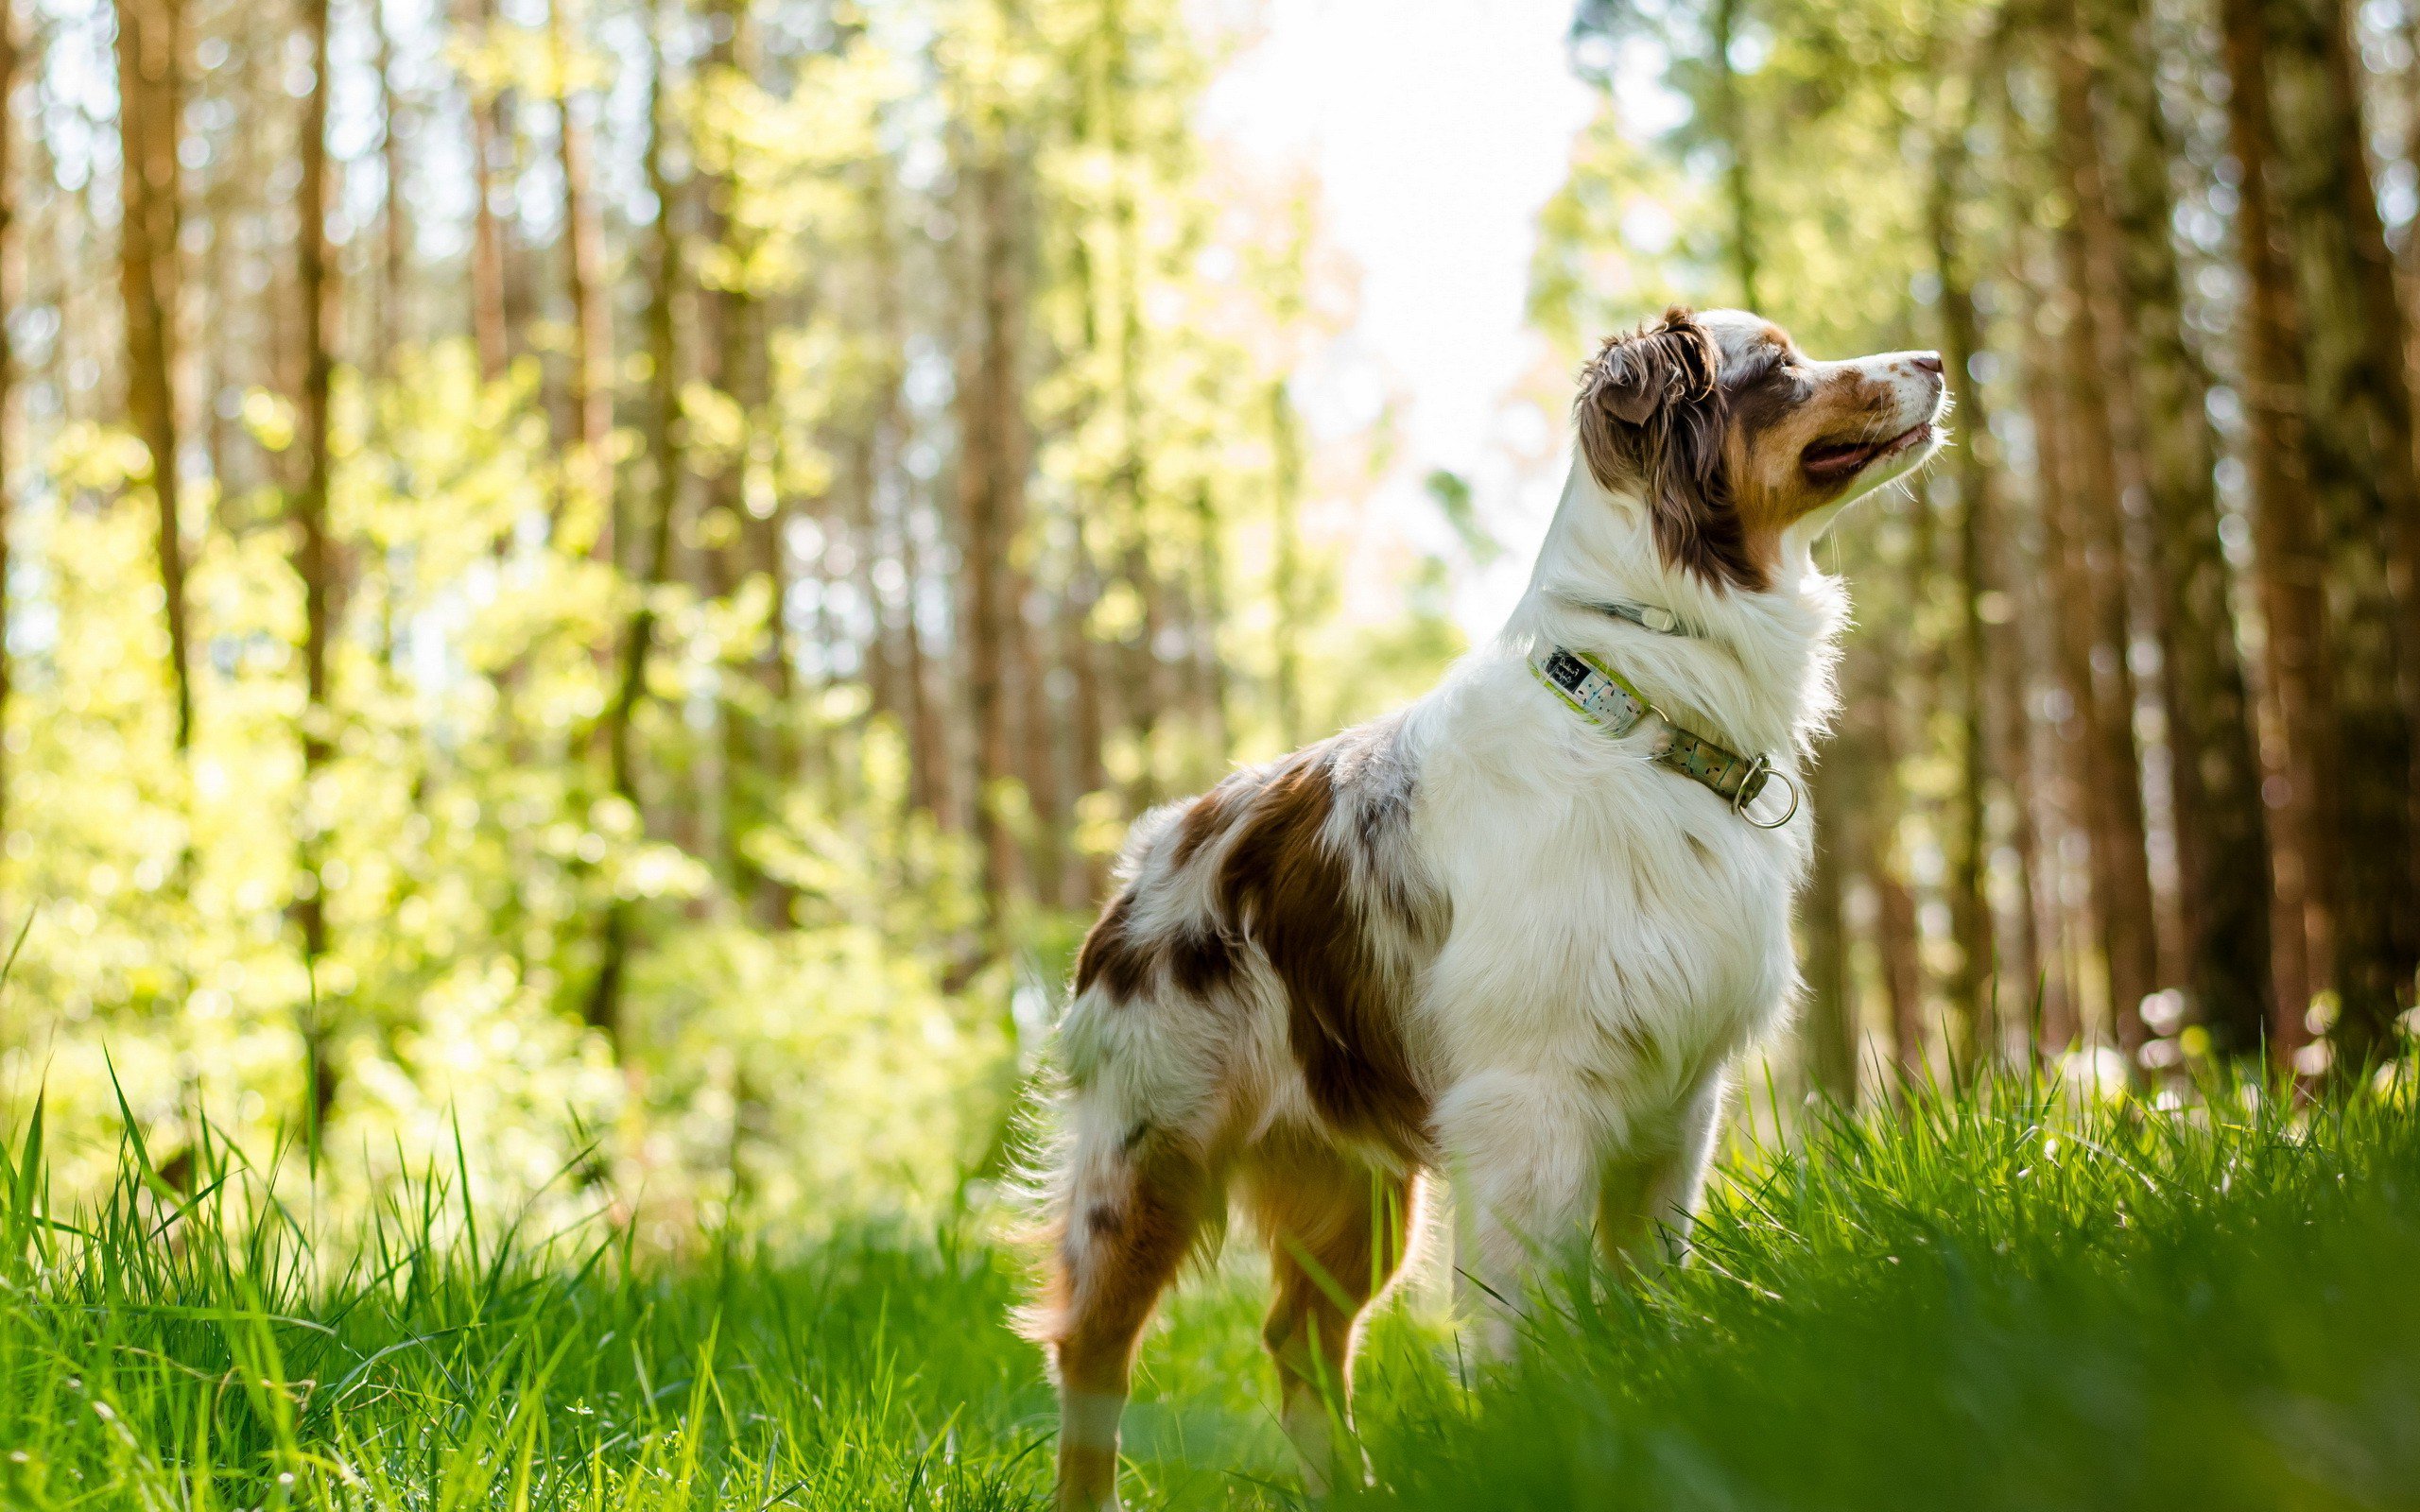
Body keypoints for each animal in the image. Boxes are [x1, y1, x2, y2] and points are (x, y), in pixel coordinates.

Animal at [1021, 309, 1945, 1509]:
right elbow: (1530, 1326)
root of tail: (1151, 853)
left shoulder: (1677, 1106)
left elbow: (1645, 1298)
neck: (1642, 707)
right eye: (1779, 366)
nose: (1936, 360)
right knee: (1094, 1347)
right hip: (1152, 1155)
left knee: (1297, 1340)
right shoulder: (1528, 1107)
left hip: (1355, 1188)